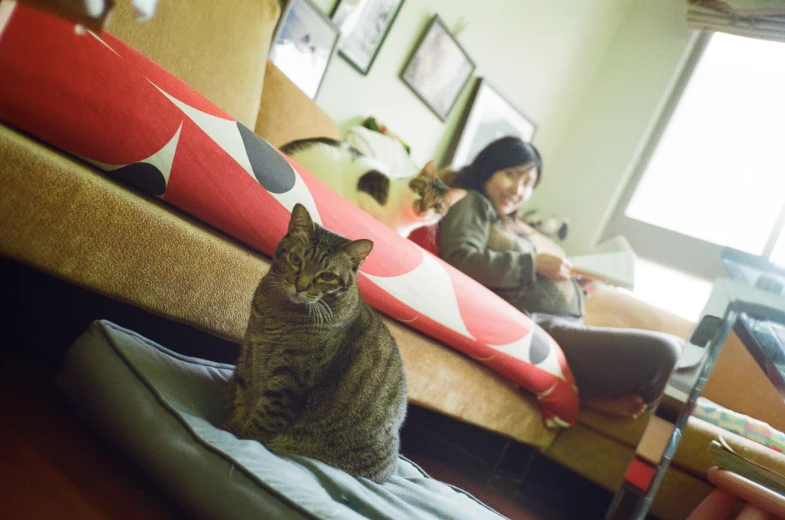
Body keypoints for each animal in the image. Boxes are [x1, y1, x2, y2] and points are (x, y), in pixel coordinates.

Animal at [220, 203, 404, 484]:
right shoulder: (249, 353)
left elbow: (262, 420)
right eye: (297, 259)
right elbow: (241, 398)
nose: (300, 286)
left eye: (327, 276)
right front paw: (228, 426)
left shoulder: (291, 377)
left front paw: (238, 438)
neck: (279, 312)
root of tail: (391, 467)